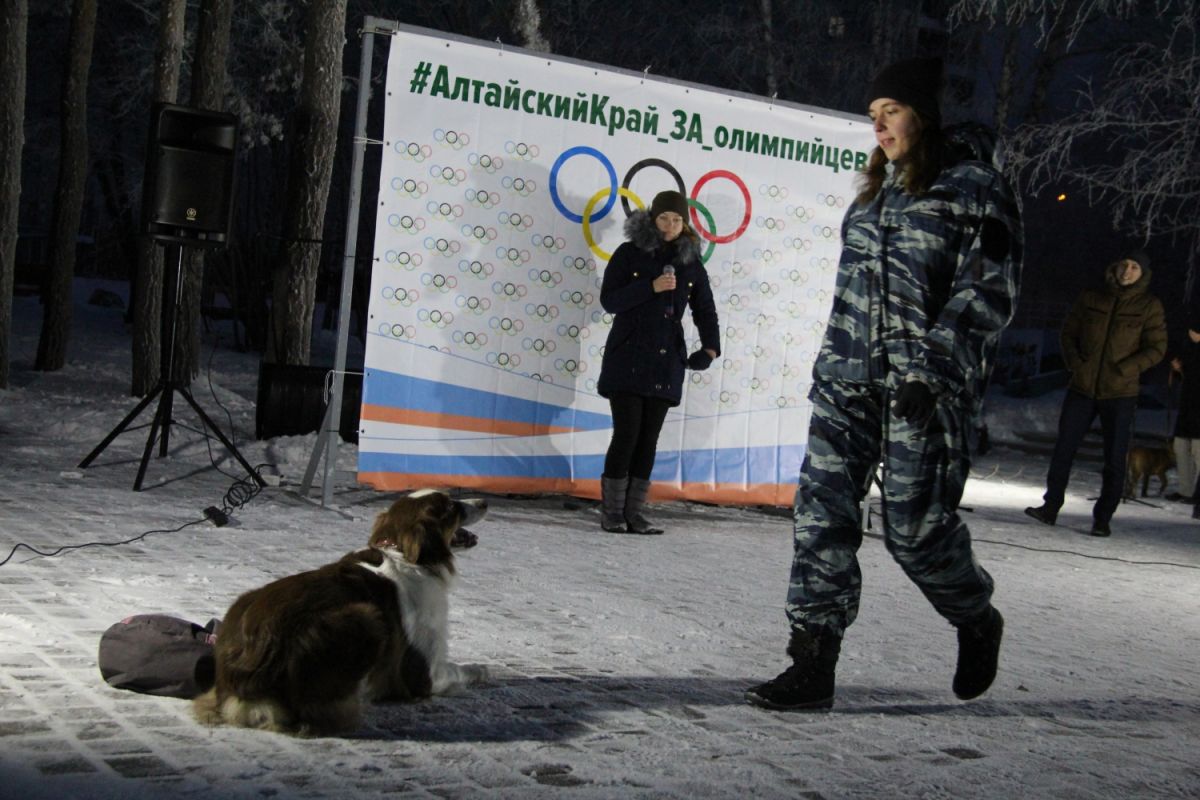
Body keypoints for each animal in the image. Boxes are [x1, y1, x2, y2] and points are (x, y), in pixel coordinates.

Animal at [193, 489, 489, 737]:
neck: (405, 554)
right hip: (365, 617)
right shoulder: (423, 674)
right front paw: (481, 669)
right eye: (450, 506)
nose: (484, 502)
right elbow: (462, 670)